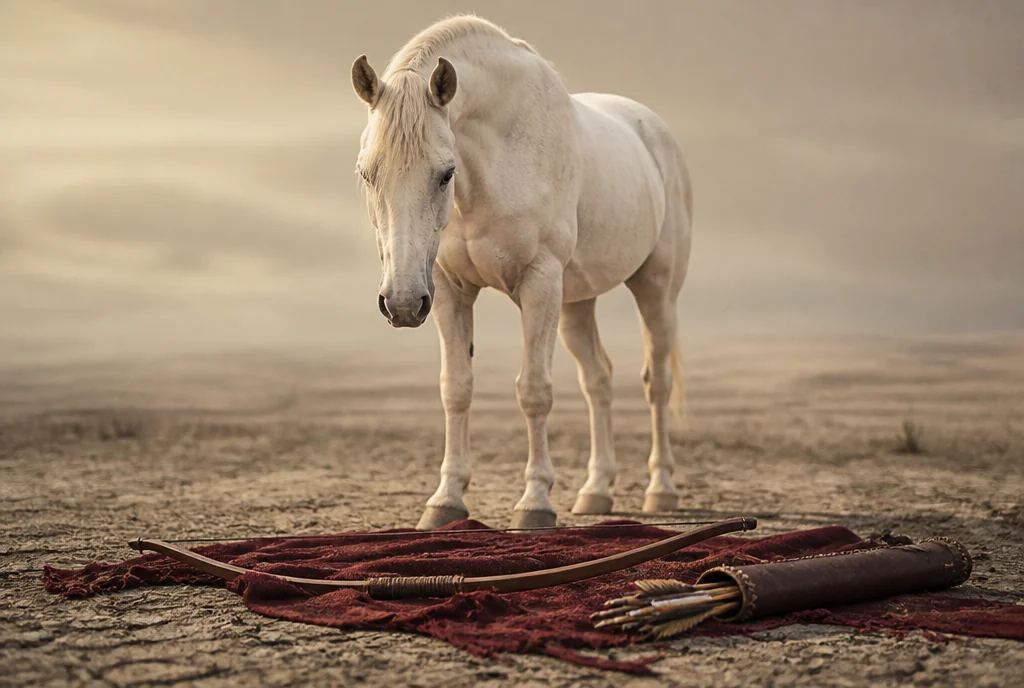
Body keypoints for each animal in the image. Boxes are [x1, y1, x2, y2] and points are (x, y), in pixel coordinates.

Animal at [350, 15, 693, 530]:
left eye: (445, 173)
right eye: (367, 173)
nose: (403, 304)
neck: (500, 155)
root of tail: (654, 130)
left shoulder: (539, 282)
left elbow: (534, 391)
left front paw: (535, 503)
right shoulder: (448, 289)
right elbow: (456, 389)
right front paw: (446, 499)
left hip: (656, 291)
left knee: (657, 382)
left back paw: (661, 490)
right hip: (576, 304)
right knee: (598, 380)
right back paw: (596, 492)